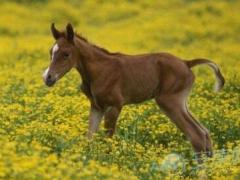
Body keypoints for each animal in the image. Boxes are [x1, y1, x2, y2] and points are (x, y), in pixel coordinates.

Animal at [42, 23, 225, 158]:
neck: (98, 70)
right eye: (51, 52)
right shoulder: (96, 106)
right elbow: (90, 138)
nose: (48, 77)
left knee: (197, 136)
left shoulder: (114, 106)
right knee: (205, 133)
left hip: (169, 101)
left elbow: (108, 139)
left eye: (66, 54)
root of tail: (186, 63)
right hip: (181, 103)